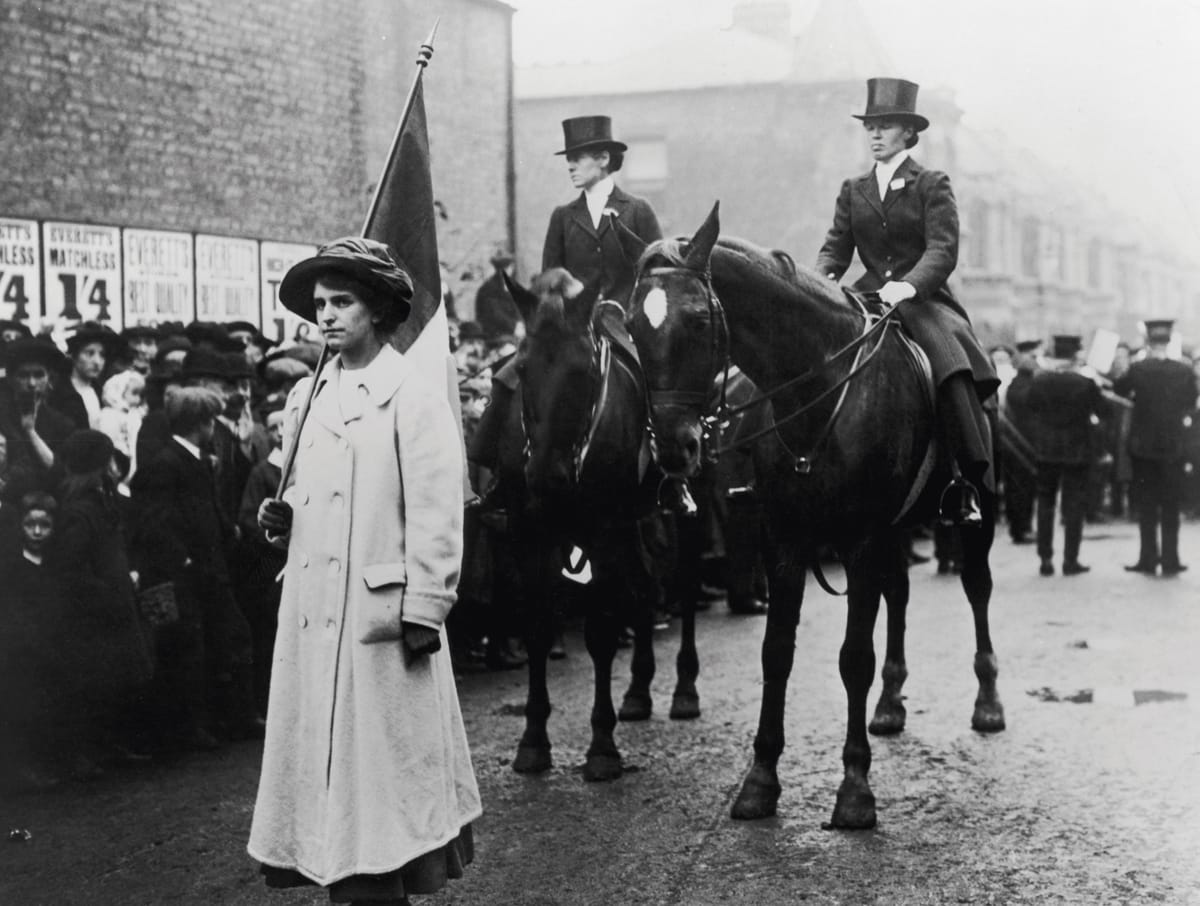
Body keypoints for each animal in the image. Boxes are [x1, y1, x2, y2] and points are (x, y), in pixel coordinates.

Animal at [499, 265, 710, 782]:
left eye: (582, 371)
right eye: (524, 367)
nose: (546, 478)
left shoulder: (602, 533)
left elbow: (599, 632)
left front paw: (601, 746)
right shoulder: (528, 535)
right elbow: (537, 627)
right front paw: (533, 741)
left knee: (683, 587)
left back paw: (684, 689)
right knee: (646, 589)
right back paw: (636, 691)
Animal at [619, 205, 1003, 830]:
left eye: (699, 320)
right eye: (631, 324)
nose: (674, 449)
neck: (821, 387)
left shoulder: (860, 539)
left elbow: (853, 658)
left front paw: (855, 790)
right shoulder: (786, 538)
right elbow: (776, 651)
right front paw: (759, 780)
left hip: (979, 511)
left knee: (977, 588)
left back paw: (988, 701)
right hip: (894, 529)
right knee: (900, 595)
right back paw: (890, 703)